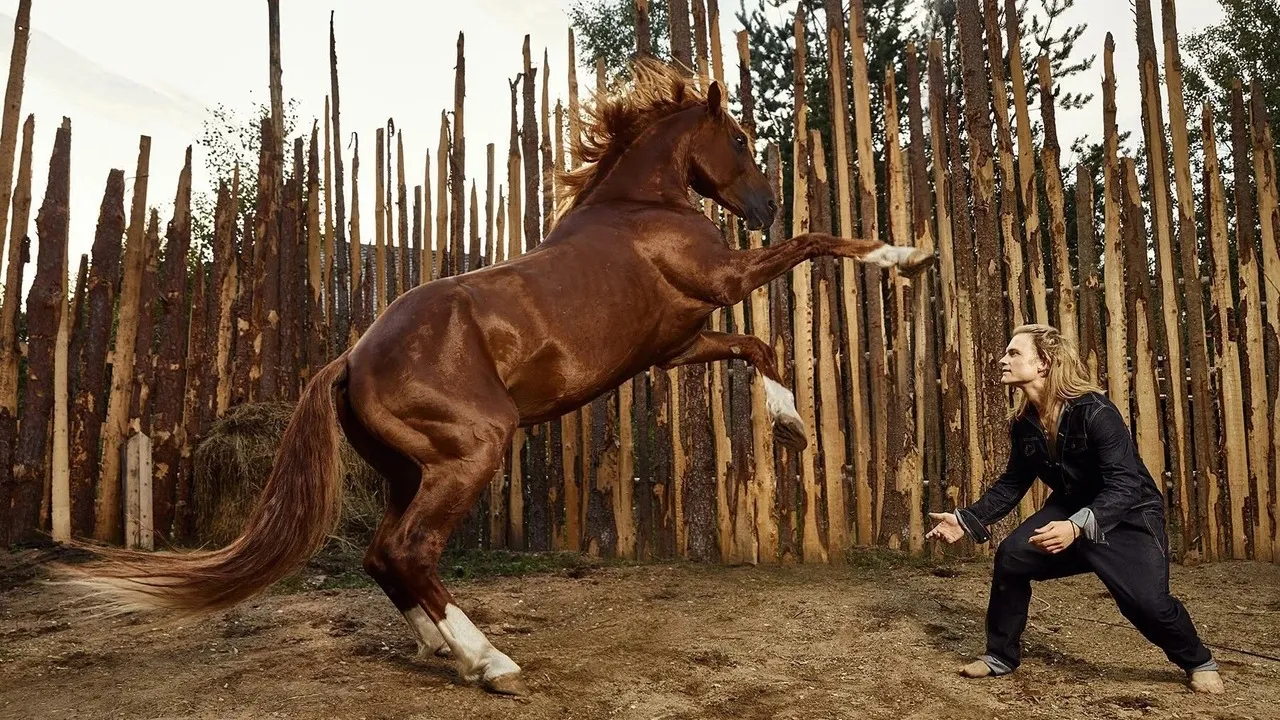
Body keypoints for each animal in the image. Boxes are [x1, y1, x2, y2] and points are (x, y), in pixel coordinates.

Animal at [55, 57, 936, 696]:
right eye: (743, 141)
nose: (763, 205)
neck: (640, 209)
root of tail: (350, 358)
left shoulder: (676, 346)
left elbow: (757, 350)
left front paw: (790, 425)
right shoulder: (723, 282)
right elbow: (818, 245)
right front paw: (907, 256)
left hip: (414, 469)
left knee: (382, 558)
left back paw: (444, 652)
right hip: (473, 448)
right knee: (409, 552)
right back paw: (491, 663)